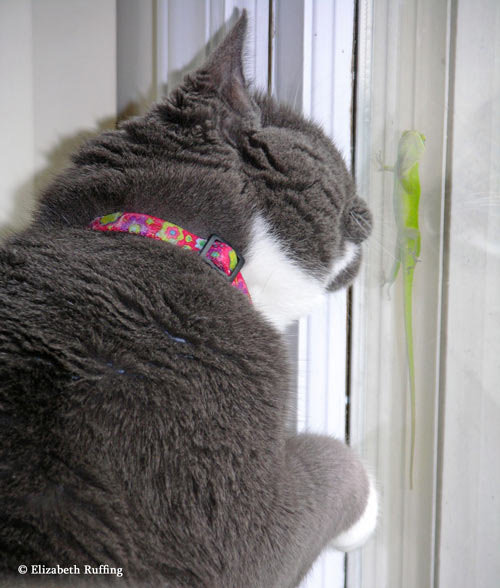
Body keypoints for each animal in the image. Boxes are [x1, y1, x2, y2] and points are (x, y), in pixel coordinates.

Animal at [0, 10, 376, 588]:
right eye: (341, 166)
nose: (372, 215)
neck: (159, 238)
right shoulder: (240, 527)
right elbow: (330, 464)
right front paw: (369, 508)